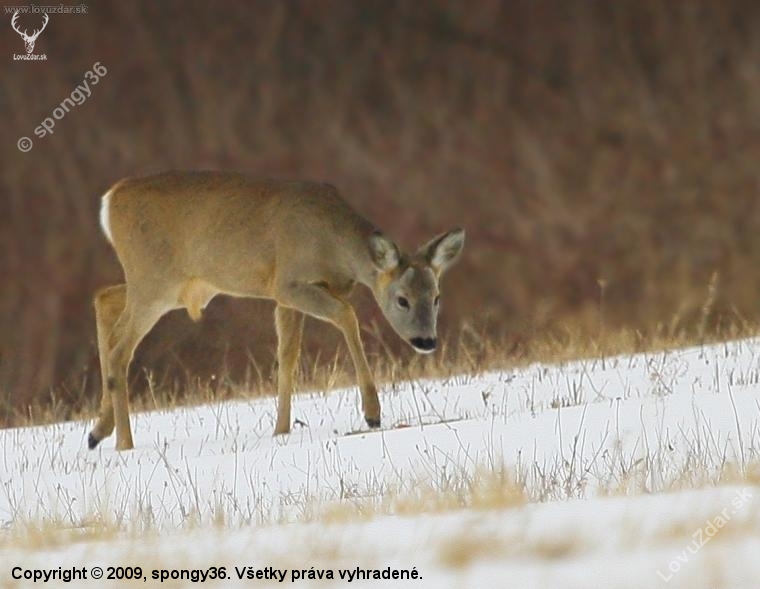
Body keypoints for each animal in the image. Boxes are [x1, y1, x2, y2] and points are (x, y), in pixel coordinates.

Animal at [89, 171, 465, 450]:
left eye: (436, 297)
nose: (426, 341)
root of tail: (110, 200)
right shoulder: (289, 283)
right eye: (402, 299)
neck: (333, 245)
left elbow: (288, 355)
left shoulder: (284, 297)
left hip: (164, 287)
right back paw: (124, 444)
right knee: (120, 348)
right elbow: (346, 314)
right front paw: (372, 412)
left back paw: (98, 432)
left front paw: (281, 429)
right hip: (154, 282)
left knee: (104, 299)